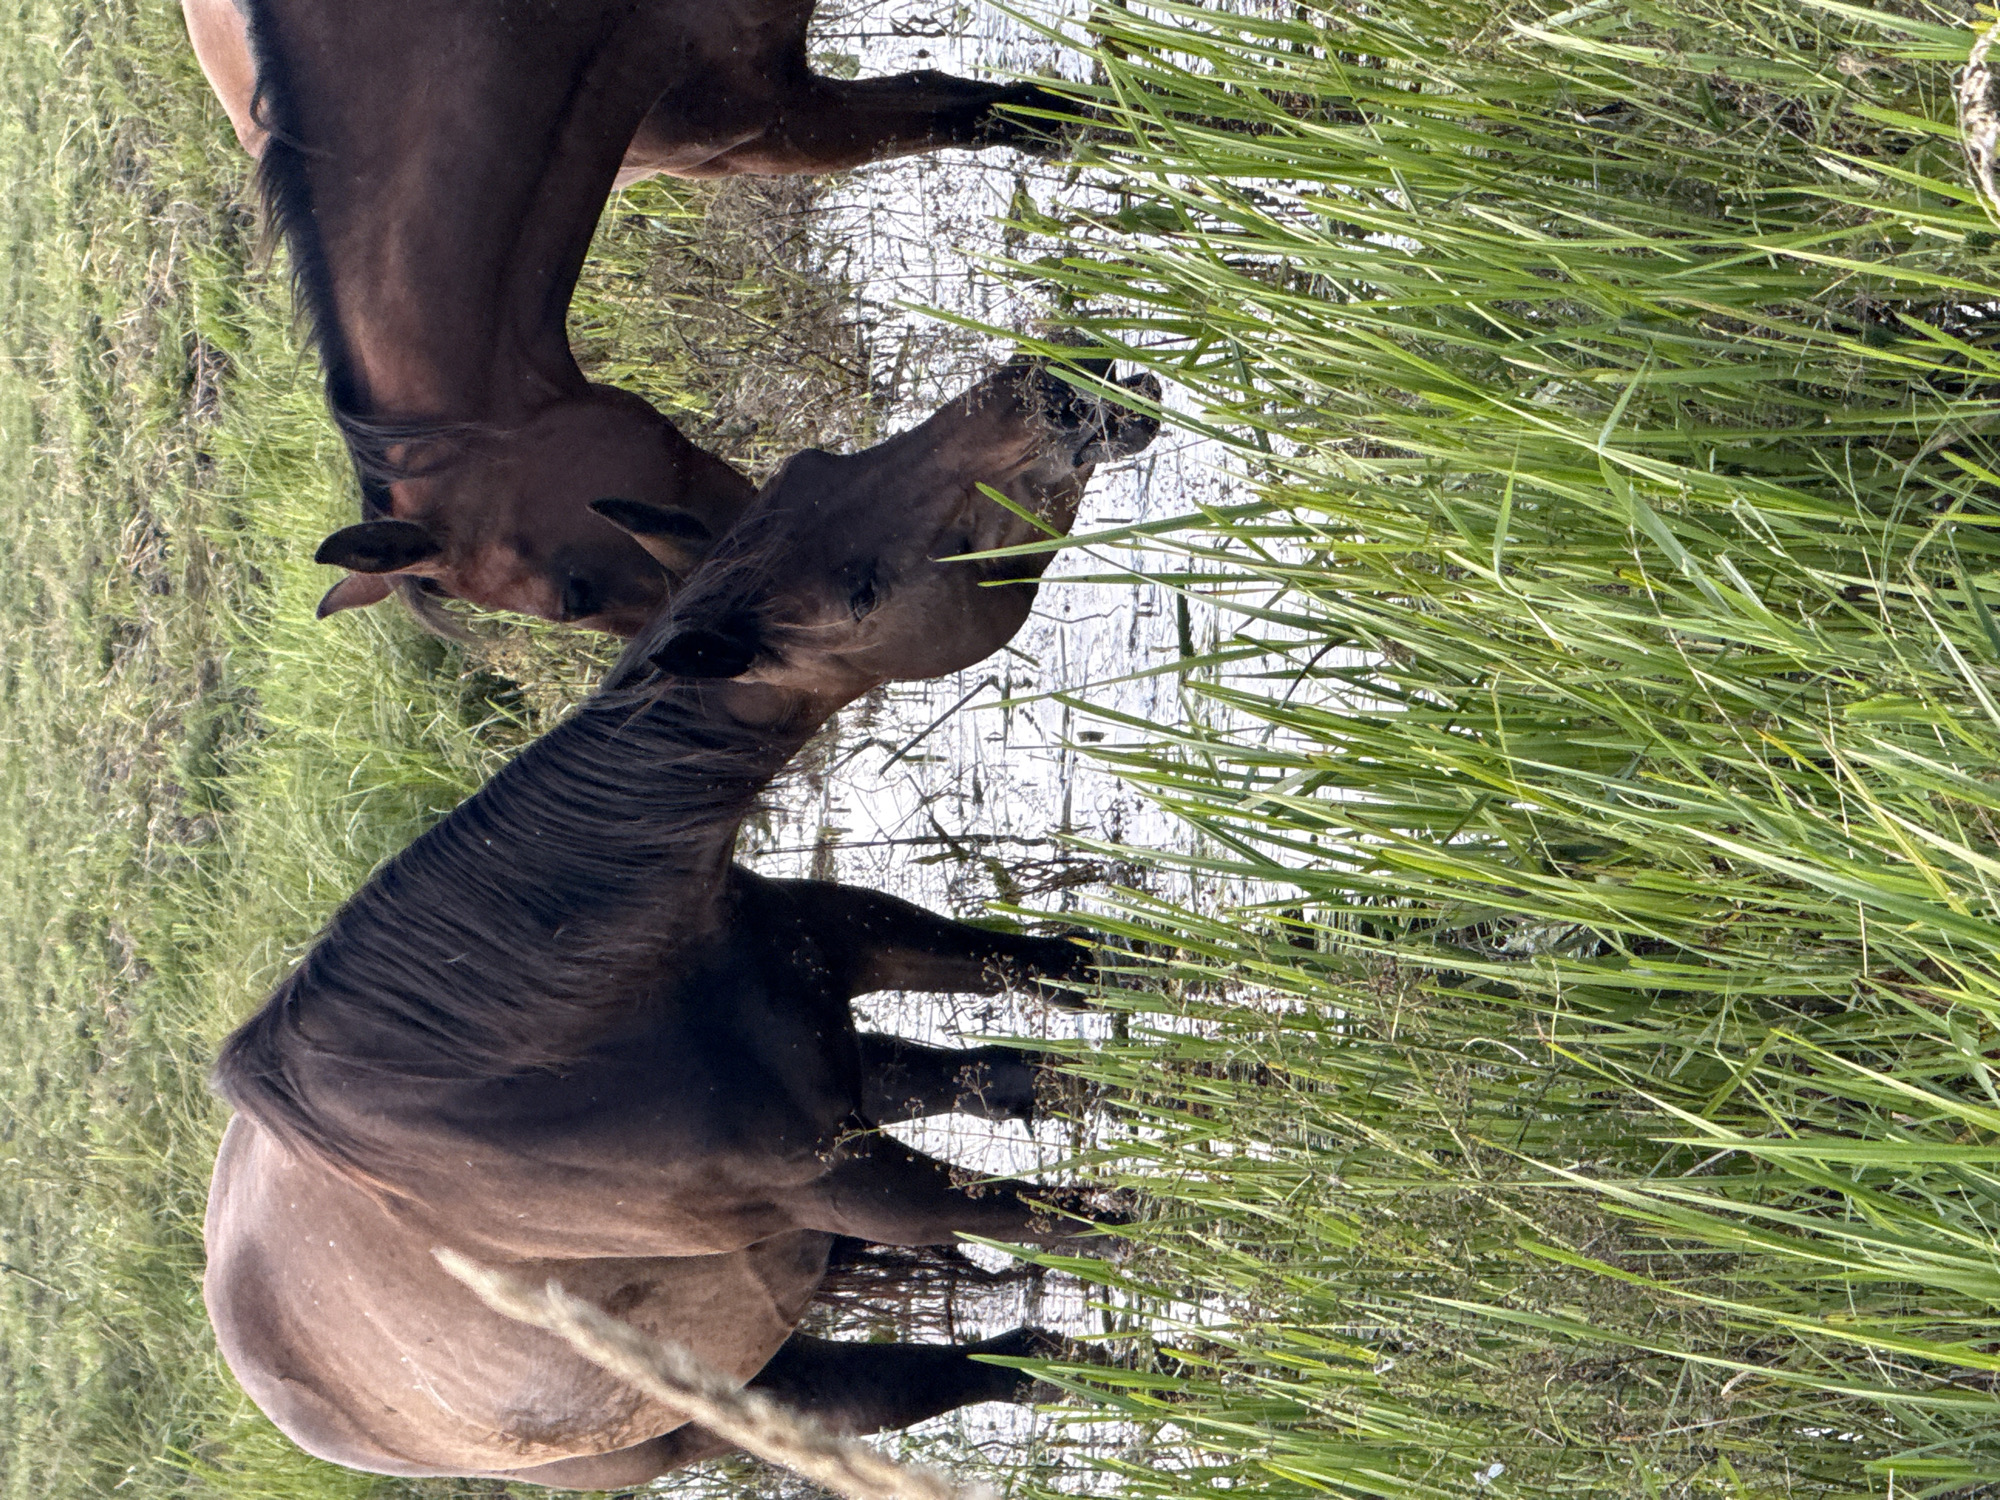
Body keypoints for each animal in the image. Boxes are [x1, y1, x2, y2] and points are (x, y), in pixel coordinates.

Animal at [203, 357, 1161, 1486]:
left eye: (821, 463)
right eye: (862, 587)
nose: (1046, 389)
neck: (547, 1034)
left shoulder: (851, 942)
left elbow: (1071, 978)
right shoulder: (846, 1182)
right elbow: (1074, 1225)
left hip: (848, 1091)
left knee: (1001, 1093)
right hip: (747, 1383)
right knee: (985, 1371)